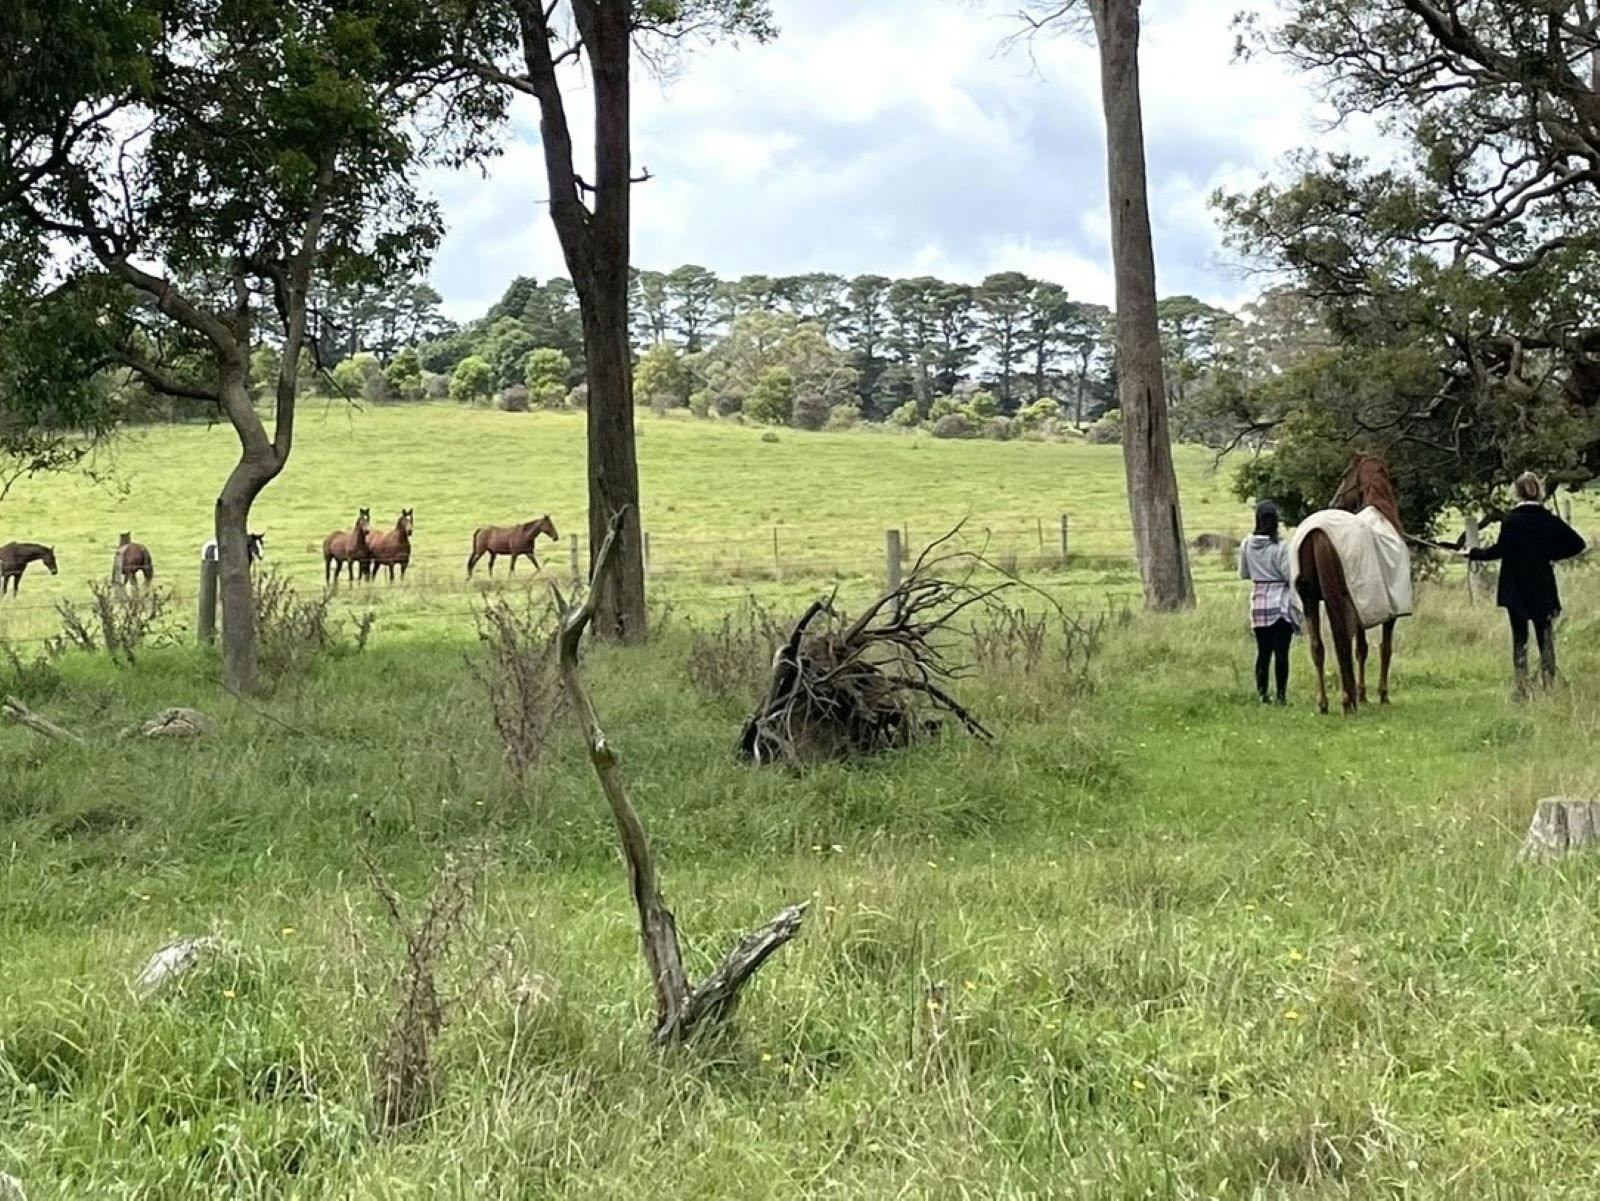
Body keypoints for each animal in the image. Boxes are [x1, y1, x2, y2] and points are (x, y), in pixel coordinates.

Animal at [1293, 454, 1408, 715]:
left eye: (1345, 474)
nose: (1334, 500)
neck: (1384, 515)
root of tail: (1316, 533)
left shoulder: (1363, 605)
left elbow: (1361, 649)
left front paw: (1364, 694)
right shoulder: (1389, 612)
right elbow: (1384, 649)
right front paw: (1381, 695)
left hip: (1310, 600)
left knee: (1318, 648)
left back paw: (1326, 703)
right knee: (1341, 641)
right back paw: (1348, 700)